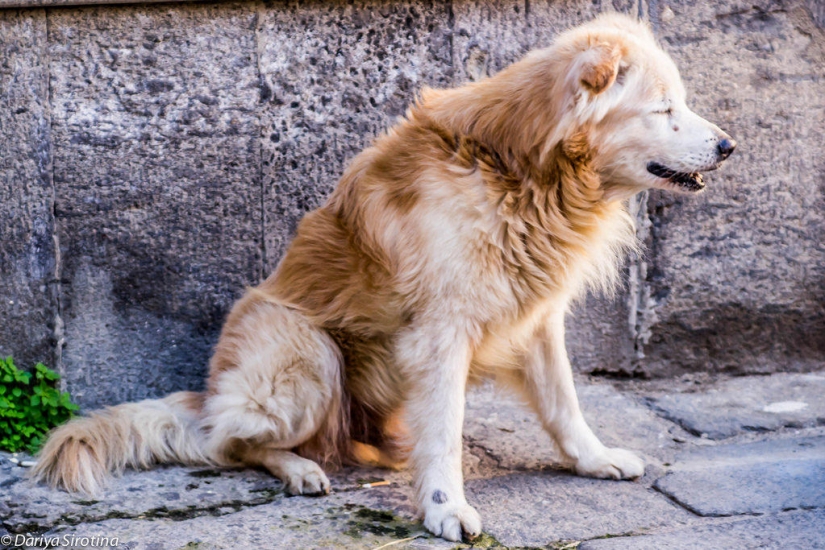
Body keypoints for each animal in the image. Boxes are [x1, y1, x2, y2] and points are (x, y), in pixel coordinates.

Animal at [35, 12, 736, 544]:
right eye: (665, 108)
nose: (730, 146)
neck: (525, 174)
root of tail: (205, 396)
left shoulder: (536, 319)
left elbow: (564, 404)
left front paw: (593, 461)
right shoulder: (441, 335)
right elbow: (446, 435)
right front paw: (445, 508)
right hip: (307, 359)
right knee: (229, 443)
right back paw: (297, 469)